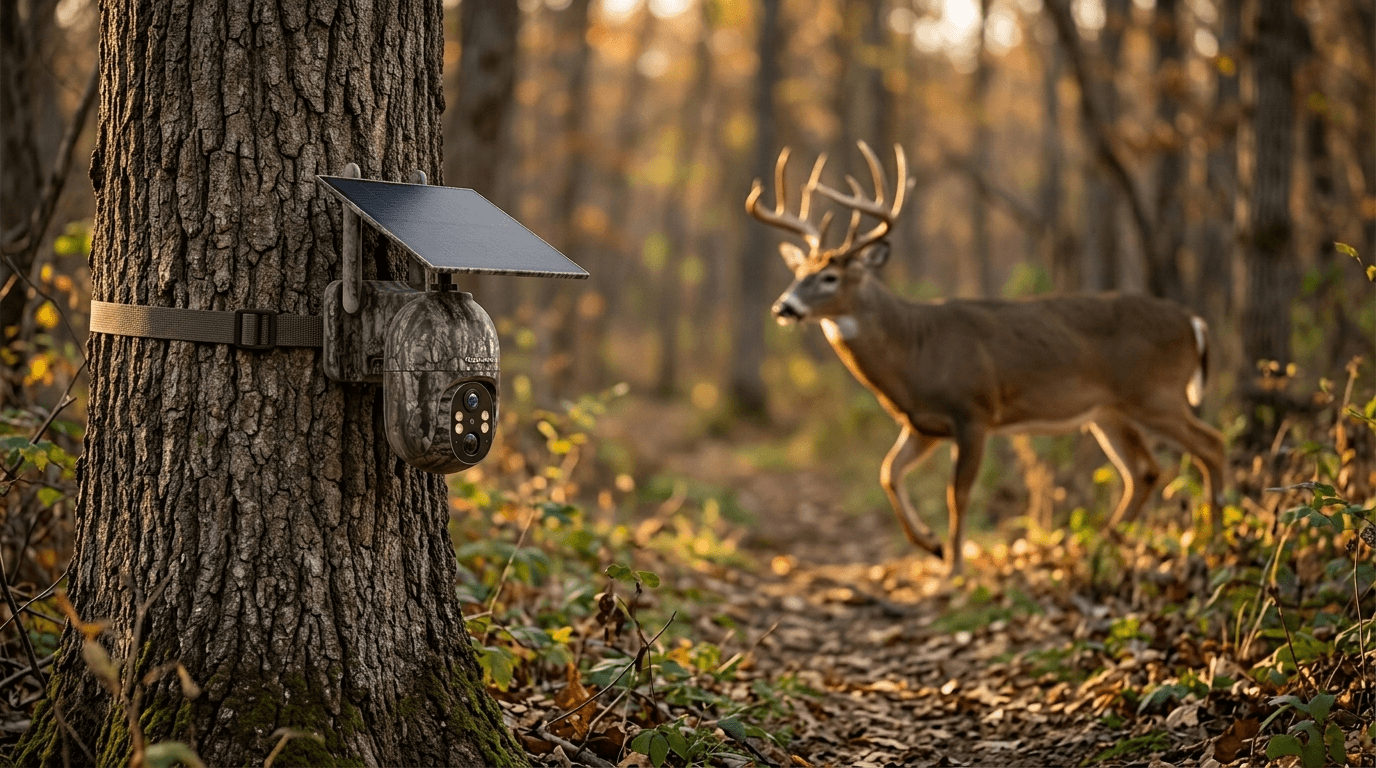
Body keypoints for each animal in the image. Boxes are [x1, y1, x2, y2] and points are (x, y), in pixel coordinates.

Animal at [746, 141, 1227, 575]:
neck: (914, 348)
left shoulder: (973, 411)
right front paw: (932, 544)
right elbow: (888, 473)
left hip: (1156, 394)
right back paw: (1102, 546)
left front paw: (954, 566)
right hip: (1109, 412)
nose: (784, 307)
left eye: (829, 277)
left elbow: (956, 494)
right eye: (797, 272)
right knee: (1145, 471)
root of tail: (1195, 322)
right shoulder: (921, 424)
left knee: (1211, 444)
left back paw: (1214, 539)